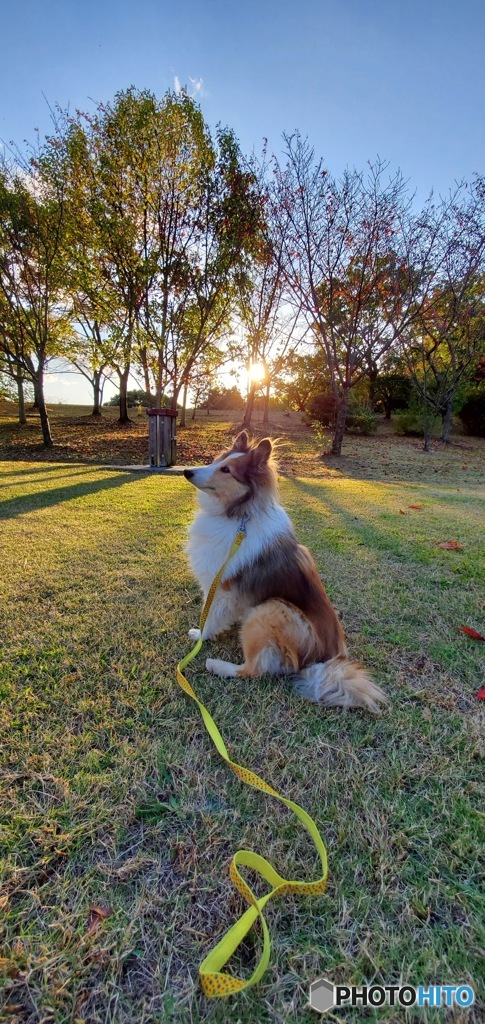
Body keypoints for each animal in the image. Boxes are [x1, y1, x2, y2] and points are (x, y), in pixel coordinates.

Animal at [183, 432, 386, 712]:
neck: (239, 518)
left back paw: (217, 665)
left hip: (271, 609)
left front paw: (200, 635)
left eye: (227, 470)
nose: (186, 471)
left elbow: (210, 614)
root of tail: (321, 663)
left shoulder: (222, 586)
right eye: (219, 461)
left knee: (253, 670)